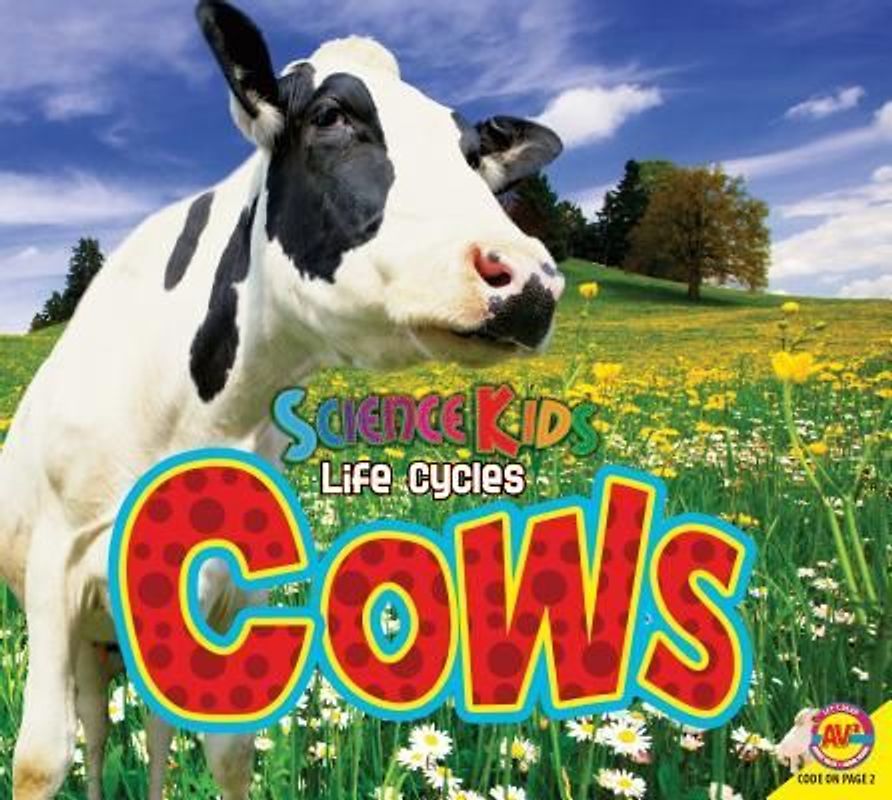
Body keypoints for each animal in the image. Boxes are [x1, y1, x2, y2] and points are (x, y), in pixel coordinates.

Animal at [0, 1, 564, 797]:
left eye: (469, 155)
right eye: (330, 116)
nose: (529, 277)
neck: (198, 416)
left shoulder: (237, 592)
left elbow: (230, 748)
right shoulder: (56, 579)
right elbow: (41, 758)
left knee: (155, 729)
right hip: (87, 638)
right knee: (96, 728)